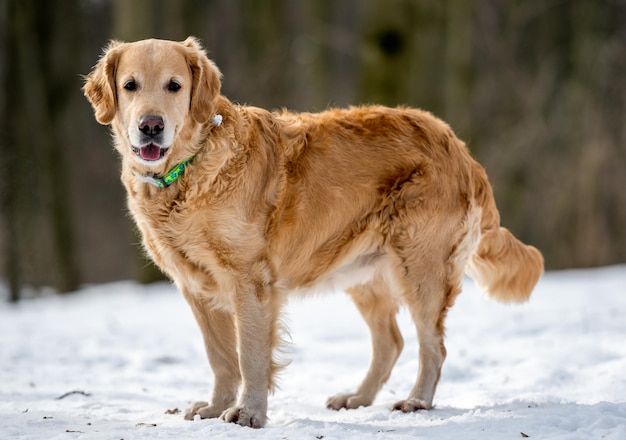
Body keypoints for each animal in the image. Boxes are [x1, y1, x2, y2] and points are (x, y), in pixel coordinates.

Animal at [83, 36, 540, 428]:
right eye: (130, 86)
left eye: (174, 86)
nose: (151, 126)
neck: (188, 169)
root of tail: (457, 145)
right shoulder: (195, 285)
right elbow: (221, 357)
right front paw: (214, 407)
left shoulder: (251, 281)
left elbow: (250, 355)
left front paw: (248, 413)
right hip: (364, 272)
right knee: (390, 341)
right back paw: (357, 397)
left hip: (420, 266)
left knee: (433, 345)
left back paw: (417, 401)